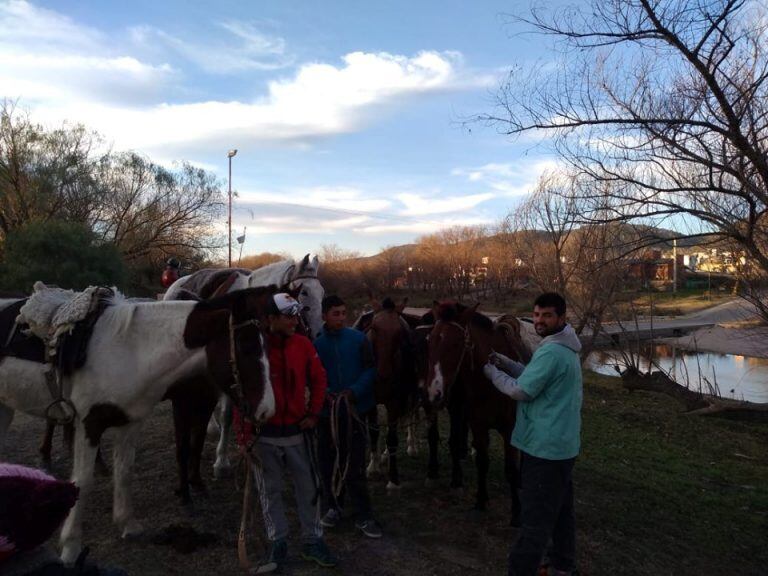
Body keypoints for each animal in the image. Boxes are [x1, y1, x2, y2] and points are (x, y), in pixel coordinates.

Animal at [0, 288, 276, 564]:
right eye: (244, 346)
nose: (267, 410)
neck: (130, 350)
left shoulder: (130, 422)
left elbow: (125, 471)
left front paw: (127, 525)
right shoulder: (90, 423)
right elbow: (83, 482)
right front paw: (70, 548)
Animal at [426, 302, 528, 520]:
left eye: (456, 344)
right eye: (430, 340)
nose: (433, 392)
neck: (490, 387)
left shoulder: (510, 430)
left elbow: (511, 469)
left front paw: (517, 513)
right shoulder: (478, 426)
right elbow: (482, 461)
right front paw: (480, 501)